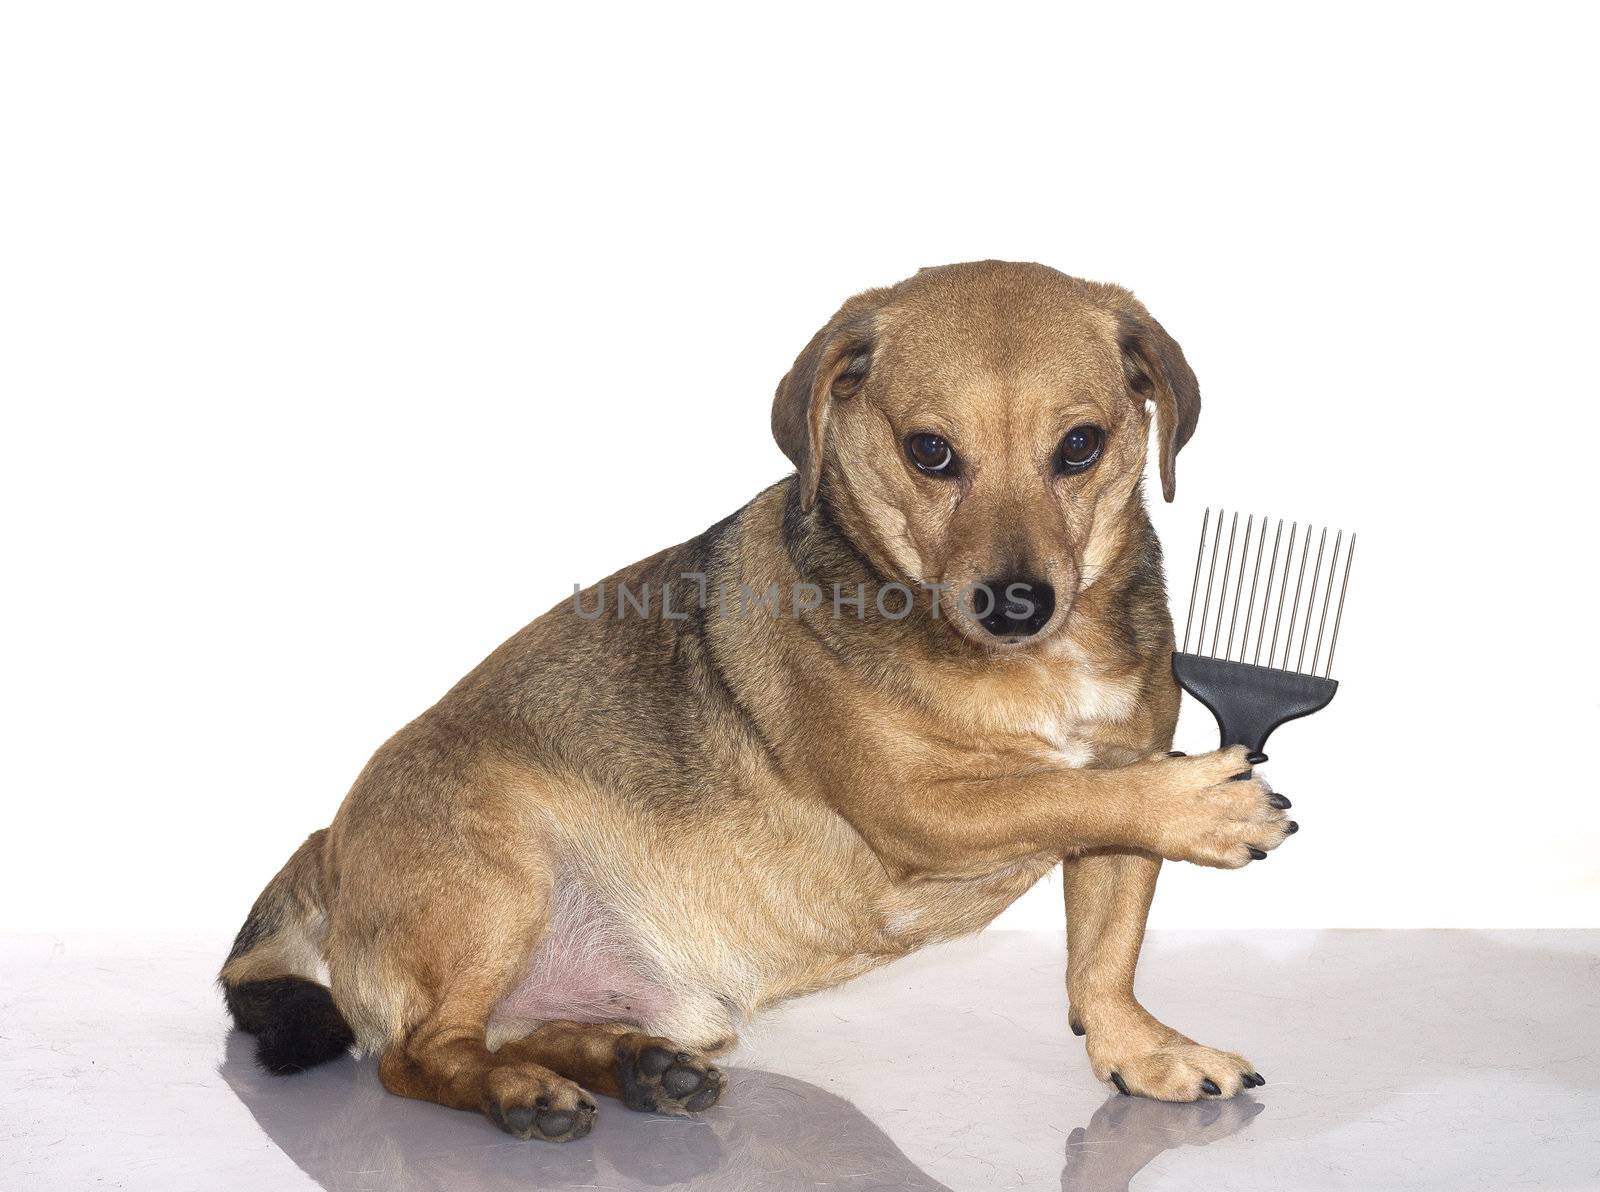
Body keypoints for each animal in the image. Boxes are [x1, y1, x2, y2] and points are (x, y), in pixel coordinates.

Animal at [225, 262, 1292, 1145]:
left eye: (1079, 447)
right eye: (930, 452)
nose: (1016, 602)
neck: (1026, 665)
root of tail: (325, 845)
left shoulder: (1106, 827)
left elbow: (1101, 958)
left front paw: (1139, 1052)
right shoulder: (918, 808)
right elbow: (1073, 793)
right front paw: (1208, 807)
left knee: (511, 1035)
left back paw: (636, 1067)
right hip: (499, 883)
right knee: (421, 1054)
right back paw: (519, 1095)